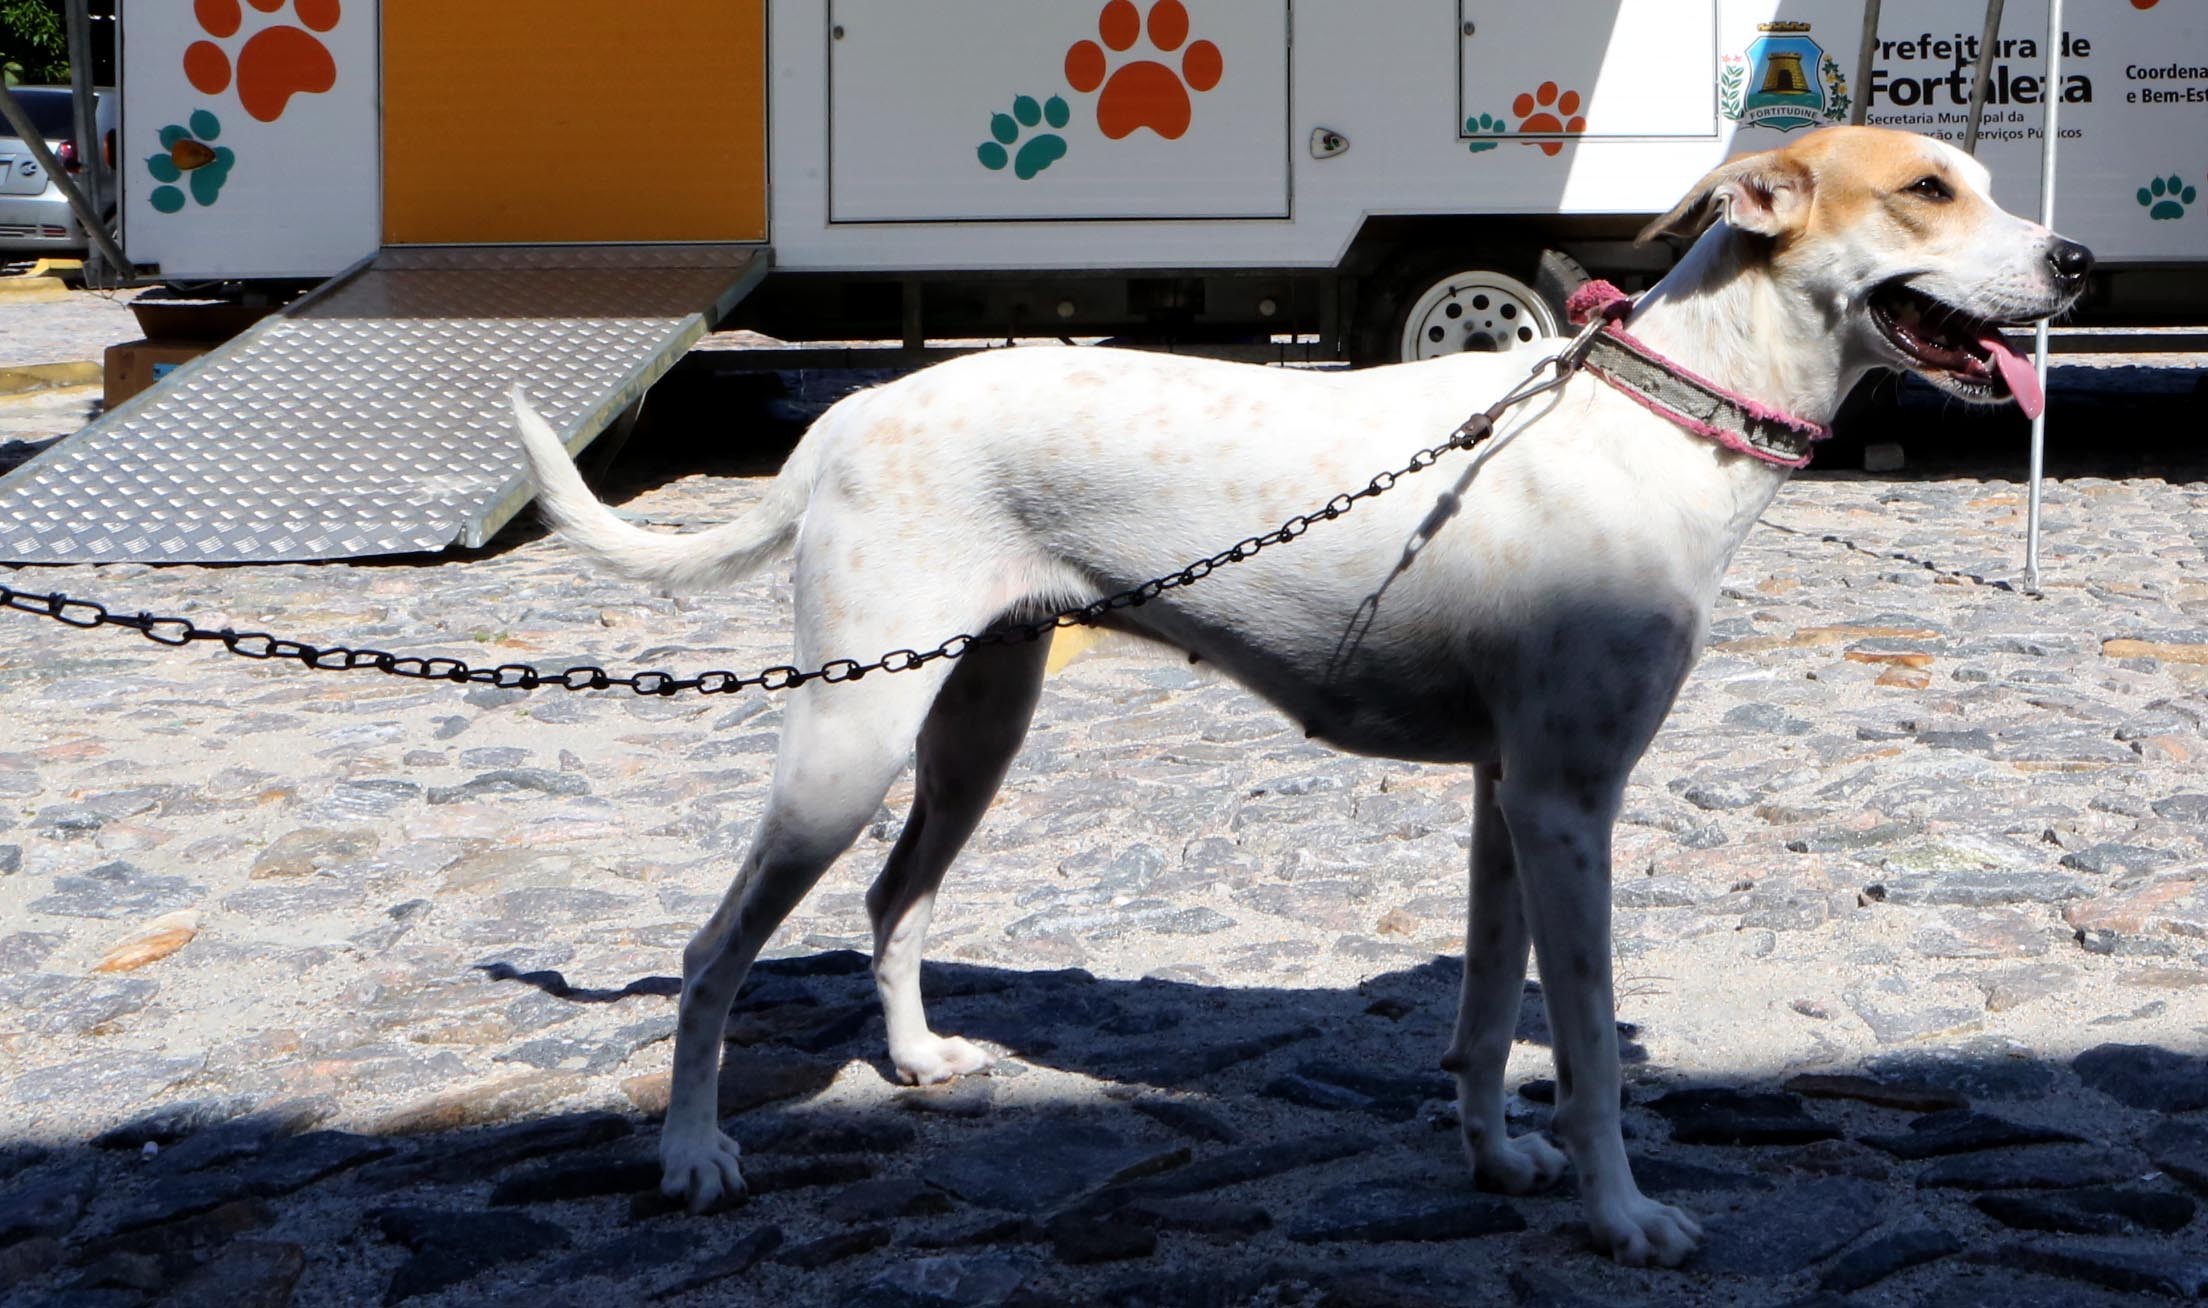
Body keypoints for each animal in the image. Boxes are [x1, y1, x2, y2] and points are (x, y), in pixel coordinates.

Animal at [512, 127, 2084, 1263]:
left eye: (1987, 183)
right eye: (1929, 191)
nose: (2074, 259)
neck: (1652, 419)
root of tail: (844, 417)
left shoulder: (1508, 803)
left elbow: (1483, 1014)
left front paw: (1494, 1161)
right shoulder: (1572, 803)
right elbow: (1582, 1043)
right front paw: (1620, 1216)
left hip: (971, 724)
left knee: (894, 902)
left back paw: (912, 1062)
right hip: (847, 742)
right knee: (714, 951)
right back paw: (691, 1155)